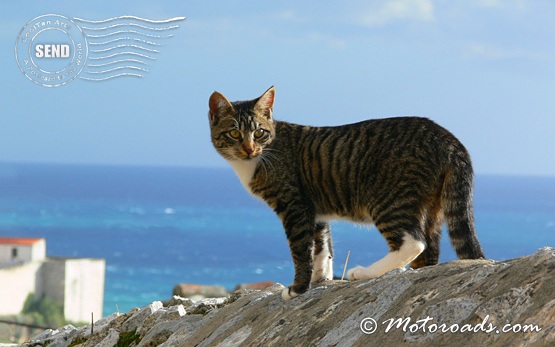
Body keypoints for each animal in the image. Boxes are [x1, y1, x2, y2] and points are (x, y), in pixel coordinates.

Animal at [206, 86, 484, 300]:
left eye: (259, 132)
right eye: (234, 133)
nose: (249, 149)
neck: (263, 155)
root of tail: (448, 138)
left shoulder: (294, 205)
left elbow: (301, 249)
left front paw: (298, 288)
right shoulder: (313, 208)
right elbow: (321, 246)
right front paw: (320, 278)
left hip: (387, 197)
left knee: (412, 241)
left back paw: (365, 272)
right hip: (432, 204)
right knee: (430, 247)